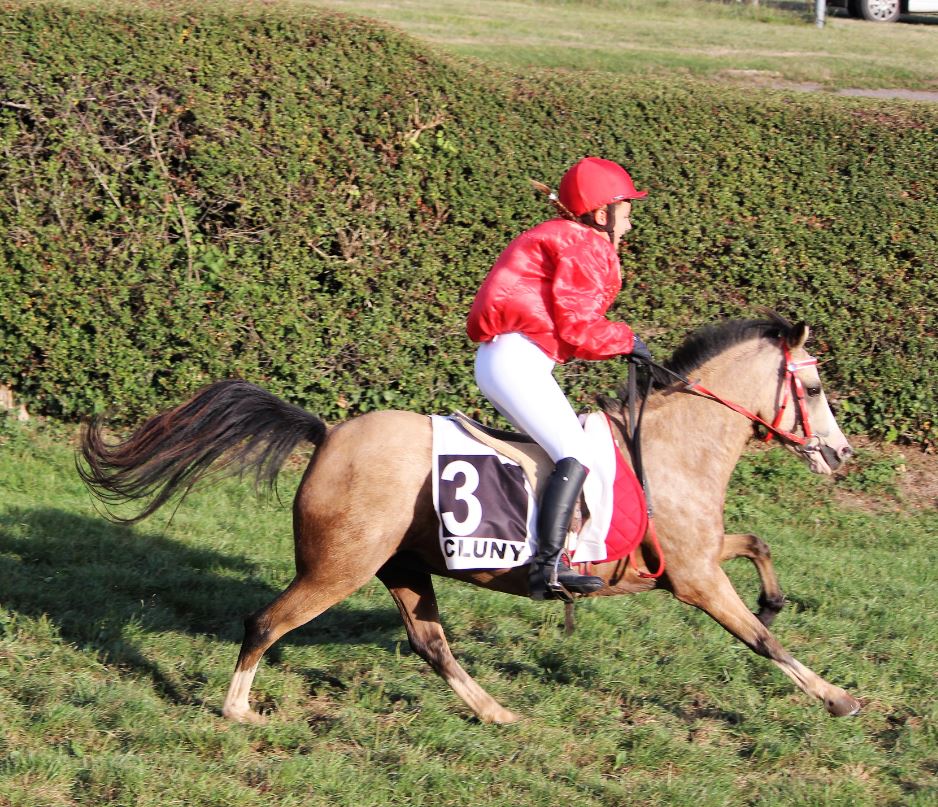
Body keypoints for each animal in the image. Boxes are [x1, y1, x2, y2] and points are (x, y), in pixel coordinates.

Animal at [77, 312, 860, 724]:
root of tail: (327, 435)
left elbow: (756, 546)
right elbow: (763, 640)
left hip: (402, 566)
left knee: (430, 643)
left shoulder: (688, 560)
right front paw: (838, 696)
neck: (673, 445)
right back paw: (238, 709)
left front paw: (777, 597)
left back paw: (495, 711)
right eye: (818, 386)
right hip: (339, 567)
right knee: (266, 622)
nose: (842, 454)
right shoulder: (695, 578)